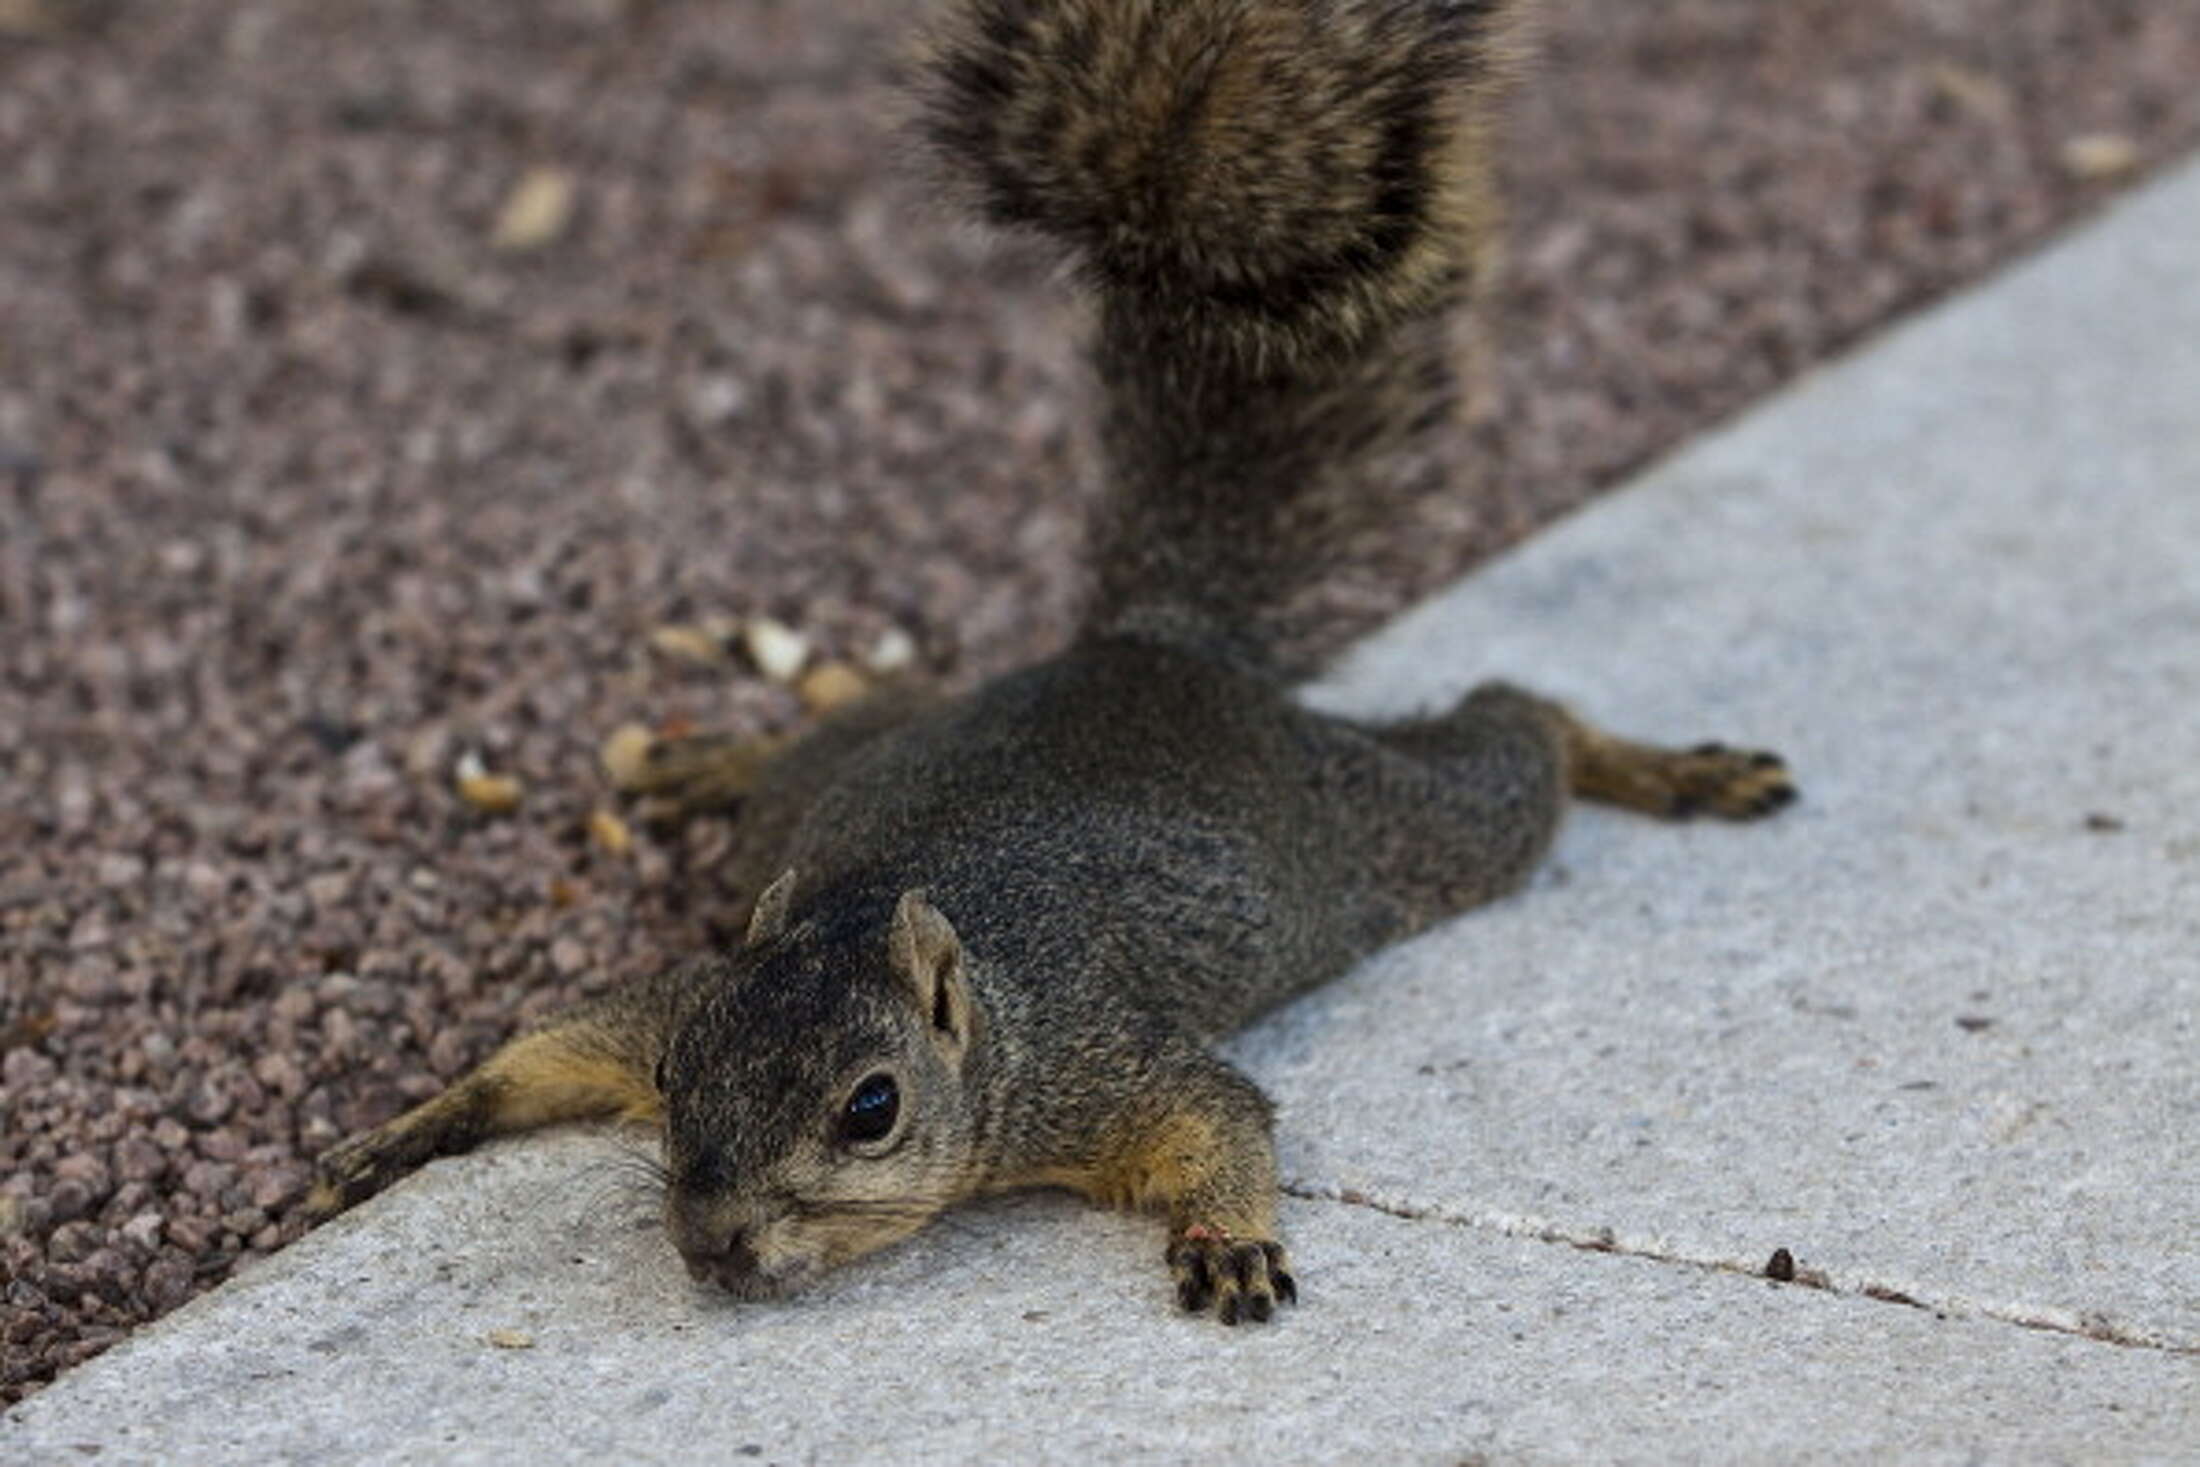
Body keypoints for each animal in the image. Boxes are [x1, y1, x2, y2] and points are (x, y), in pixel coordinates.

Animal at [305, 0, 1786, 1328]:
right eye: (674, 1071)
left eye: (873, 1108)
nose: (713, 1247)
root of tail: (1147, 650)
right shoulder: (683, 984)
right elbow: (555, 1043)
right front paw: (409, 1125)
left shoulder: (1099, 1064)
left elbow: (1222, 1112)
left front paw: (1233, 1238)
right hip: (834, 782)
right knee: (861, 717)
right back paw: (710, 757)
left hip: (1400, 829)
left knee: (1513, 731)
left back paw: (1666, 766)